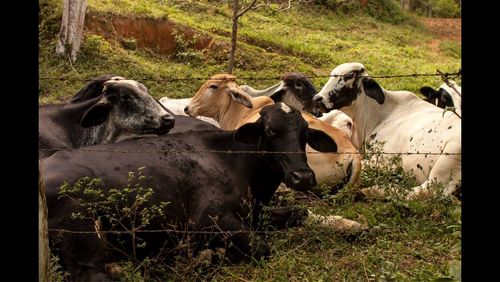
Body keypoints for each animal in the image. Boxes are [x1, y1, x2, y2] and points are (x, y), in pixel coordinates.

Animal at [41, 103, 338, 280]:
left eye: (304, 134)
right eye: (270, 131)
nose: (302, 176)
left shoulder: (258, 214)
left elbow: (299, 212)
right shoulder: (207, 219)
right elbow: (261, 247)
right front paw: (209, 256)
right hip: (83, 229)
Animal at [312, 62, 460, 199]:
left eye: (348, 76)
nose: (317, 98)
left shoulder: (383, 159)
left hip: (446, 162)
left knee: (425, 191)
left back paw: (370, 191)